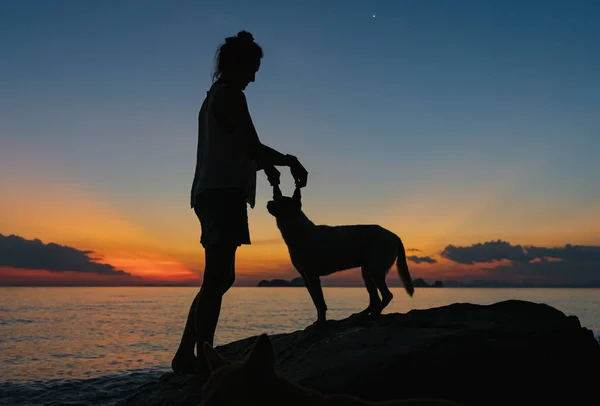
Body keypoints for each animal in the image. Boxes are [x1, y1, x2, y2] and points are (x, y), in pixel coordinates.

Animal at [266, 186, 412, 326]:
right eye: (275, 197)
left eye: (282, 202)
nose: (268, 202)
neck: (299, 231)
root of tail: (395, 236)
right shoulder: (305, 277)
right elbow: (316, 302)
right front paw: (319, 320)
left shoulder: (313, 276)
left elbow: (320, 303)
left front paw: (321, 322)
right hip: (367, 272)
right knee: (375, 299)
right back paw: (361, 315)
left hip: (375, 270)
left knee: (387, 296)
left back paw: (374, 314)